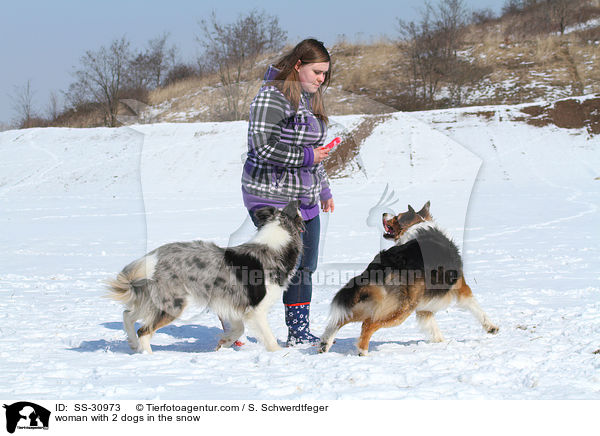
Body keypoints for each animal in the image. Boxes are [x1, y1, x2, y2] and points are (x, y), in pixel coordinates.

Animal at [318, 203, 496, 356]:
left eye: (396, 217)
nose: (384, 213)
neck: (417, 225)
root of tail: (384, 261)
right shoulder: (460, 288)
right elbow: (475, 306)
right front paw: (492, 328)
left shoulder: (424, 306)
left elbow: (432, 326)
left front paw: (440, 342)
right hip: (401, 307)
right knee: (368, 324)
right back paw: (363, 352)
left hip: (378, 301)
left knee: (342, 318)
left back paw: (324, 344)